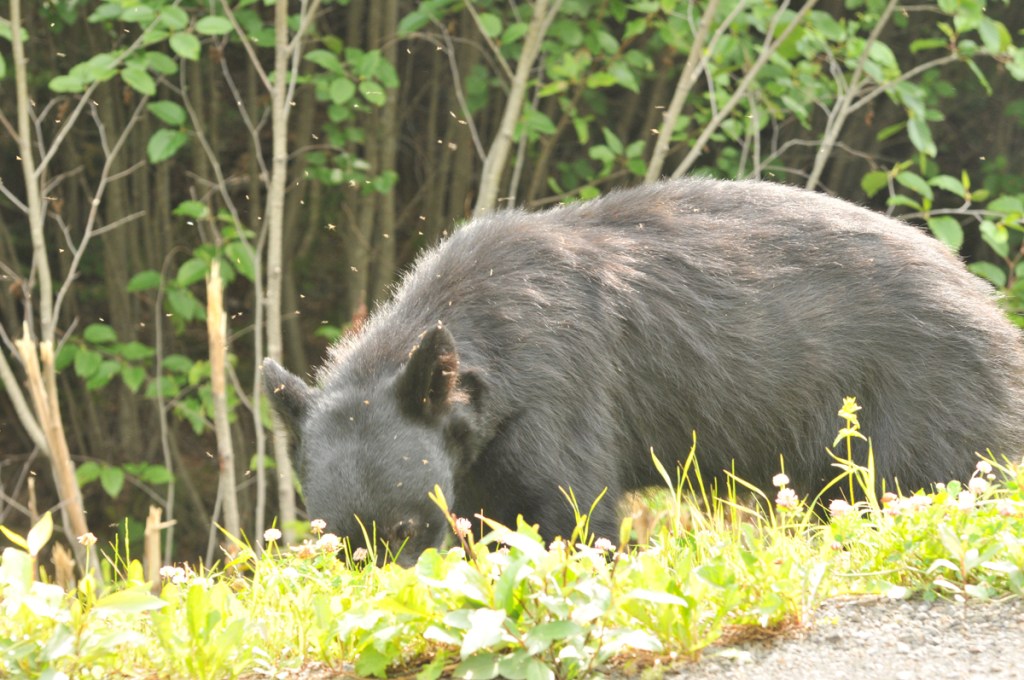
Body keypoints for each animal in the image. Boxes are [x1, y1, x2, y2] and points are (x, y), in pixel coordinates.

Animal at [263, 178, 1024, 565]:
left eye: (406, 530)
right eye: (341, 544)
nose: (394, 585)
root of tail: (986, 302)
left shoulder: (558, 393)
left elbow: (570, 512)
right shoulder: (479, 455)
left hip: (924, 399)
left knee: (935, 475)